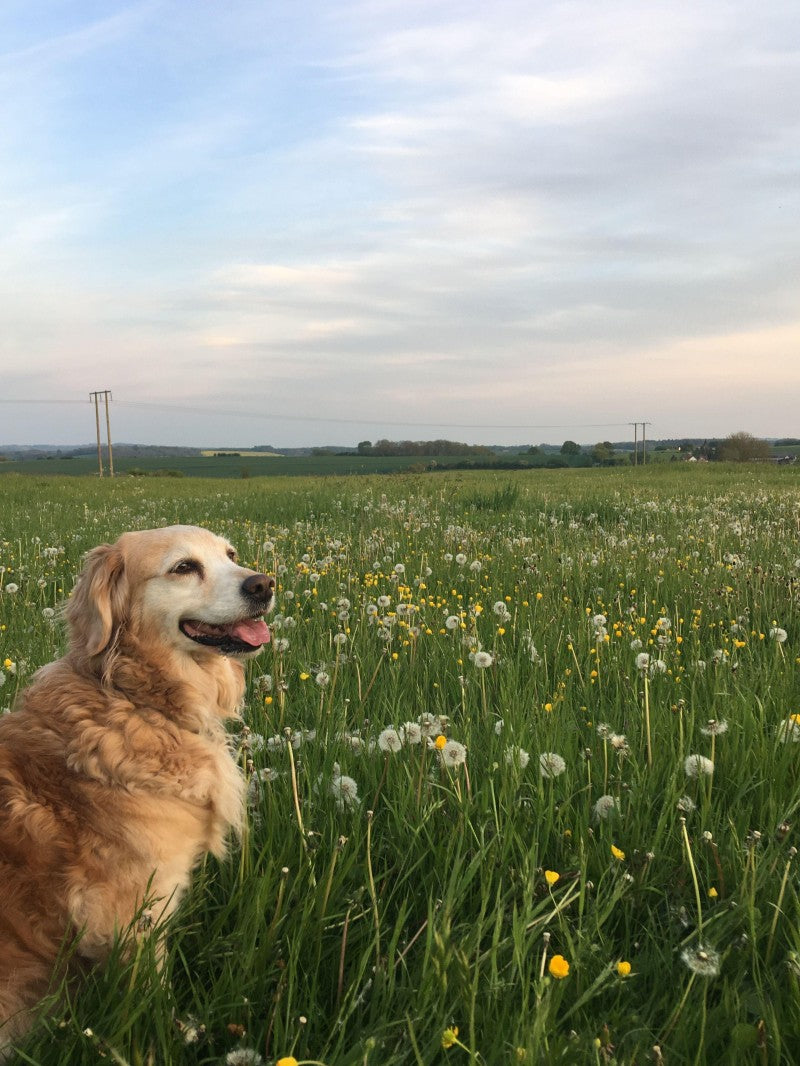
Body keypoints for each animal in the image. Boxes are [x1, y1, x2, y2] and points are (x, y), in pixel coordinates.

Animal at [0, 520, 275, 1053]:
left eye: (231, 555)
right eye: (184, 567)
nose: (265, 585)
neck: (136, 699)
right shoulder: (136, 912)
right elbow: (152, 997)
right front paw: (168, 1038)